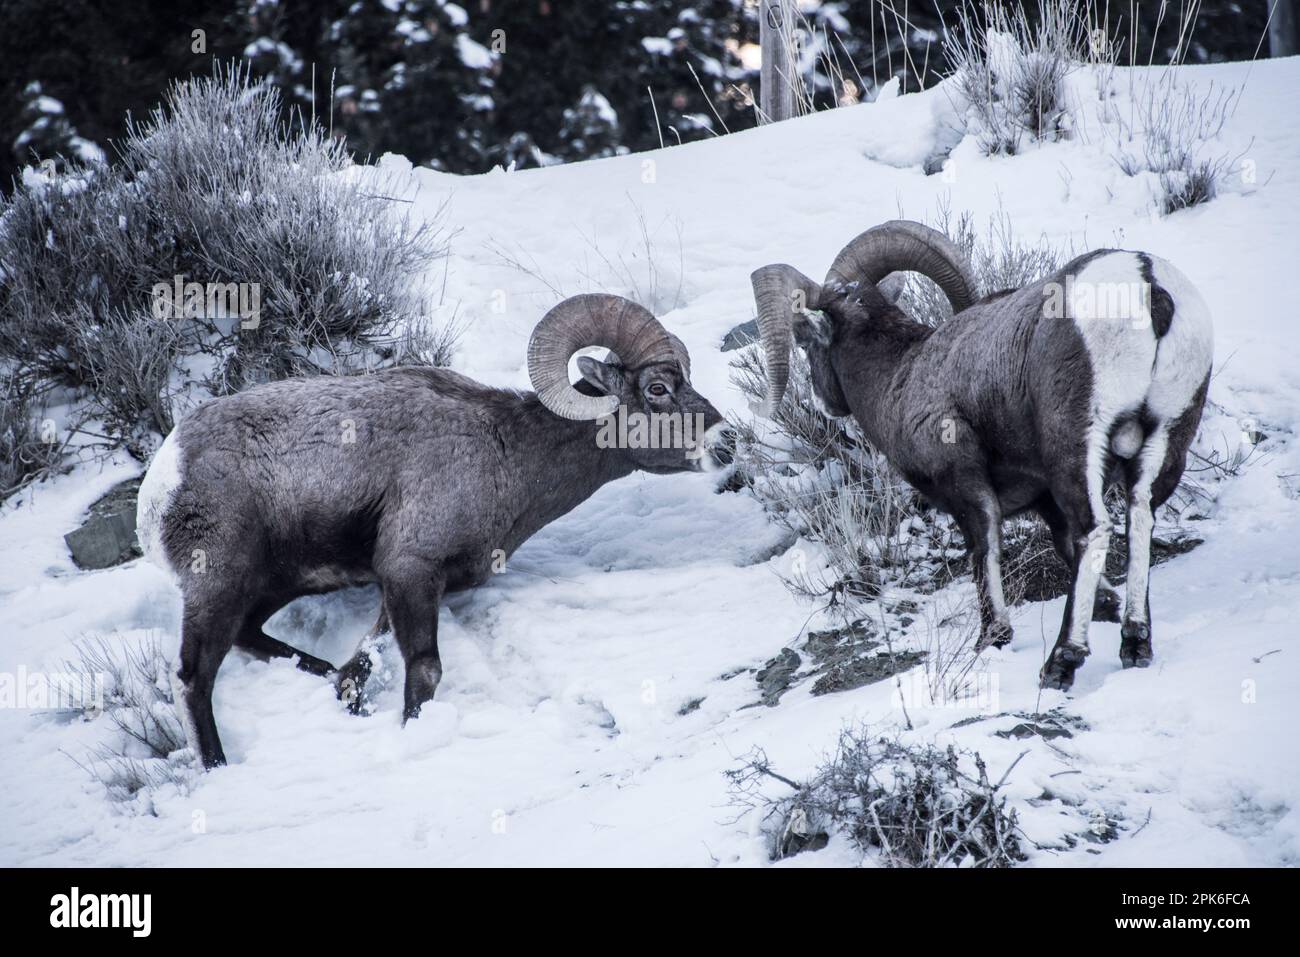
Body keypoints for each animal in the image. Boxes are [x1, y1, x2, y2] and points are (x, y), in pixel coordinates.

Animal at [139, 295, 743, 764]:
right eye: (658, 388)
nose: (728, 442)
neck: (508, 453)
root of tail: (162, 482)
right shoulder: (411, 571)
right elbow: (425, 670)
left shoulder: (406, 583)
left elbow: (365, 659)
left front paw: (351, 694)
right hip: (218, 587)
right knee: (194, 678)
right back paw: (218, 767)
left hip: (275, 585)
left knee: (252, 638)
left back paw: (319, 673)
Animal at [759, 222, 1211, 686]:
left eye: (805, 344)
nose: (825, 403)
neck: (902, 375)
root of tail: (1146, 282)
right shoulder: (1043, 497)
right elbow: (1063, 544)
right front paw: (1109, 605)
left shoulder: (967, 485)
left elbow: (985, 551)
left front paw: (993, 635)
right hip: (1166, 438)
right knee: (1140, 518)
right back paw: (1135, 642)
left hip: (1078, 446)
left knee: (1095, 528)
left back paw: (1061, 661)